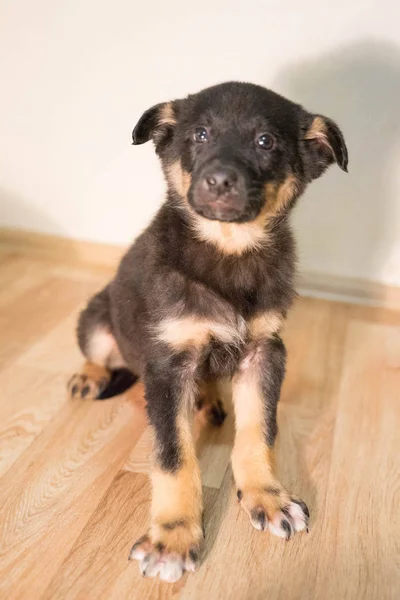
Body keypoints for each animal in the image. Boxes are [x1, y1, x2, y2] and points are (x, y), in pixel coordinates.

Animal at [68, 81, 346, 580]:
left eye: (265, 142)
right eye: (199, 134)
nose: (219, 181)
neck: (228, 250)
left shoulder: (264, 352)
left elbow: (259, 431)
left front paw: (267, 496)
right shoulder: (168, 365)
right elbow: (174, 456)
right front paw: (174, 536)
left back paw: (209, 399)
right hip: (99, 323)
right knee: (96, 350)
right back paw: (91, 375)